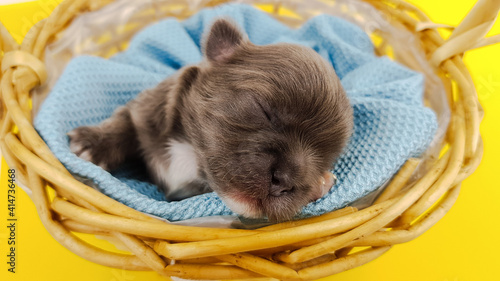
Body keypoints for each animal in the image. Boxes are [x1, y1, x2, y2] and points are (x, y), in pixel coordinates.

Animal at [68, 18, 354, 222]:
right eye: (263, 110)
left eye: (323, 160)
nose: (284, 180)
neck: (191, 153)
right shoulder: (145, 111)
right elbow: (124, 123)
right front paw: (92, 143)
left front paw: (321, 184)